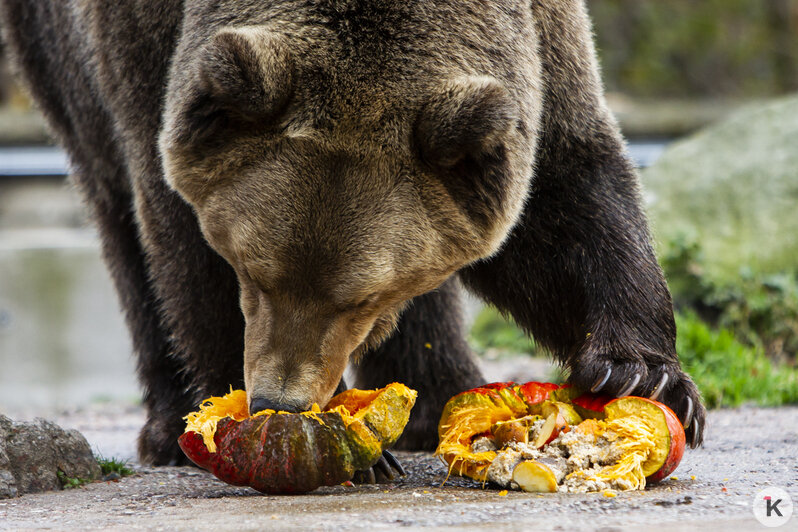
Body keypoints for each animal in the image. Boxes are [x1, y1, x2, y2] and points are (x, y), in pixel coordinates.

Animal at [1, 0, 708, 468]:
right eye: (251, 271)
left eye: (358, 299)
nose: (280, 400)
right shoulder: (147, 46)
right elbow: (175, 232)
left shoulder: (532, 37)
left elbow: (564, 192)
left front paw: (641, 376)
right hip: (55, 59)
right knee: (117, 214)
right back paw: (166, 424)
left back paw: (438, 393)